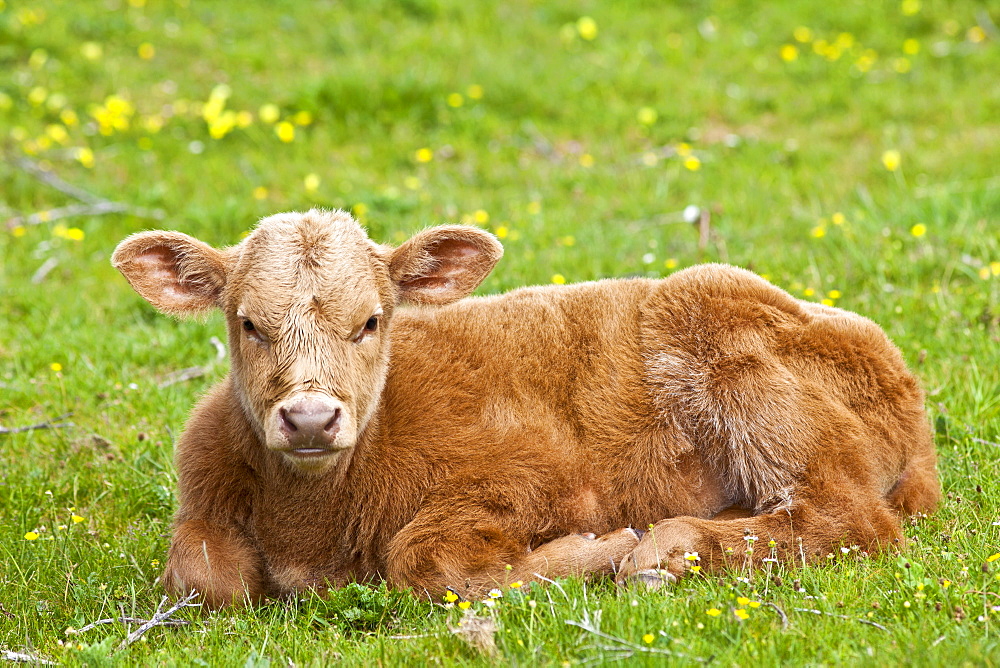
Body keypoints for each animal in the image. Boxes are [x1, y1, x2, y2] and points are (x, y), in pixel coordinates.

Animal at [113, 211, 940, 608]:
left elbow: (427, 559)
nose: (311, 418)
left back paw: (667, 548)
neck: (310, 527)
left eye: (372, 321)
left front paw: (599, 552)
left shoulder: (537, 478)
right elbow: (206, 577)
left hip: (731, 341)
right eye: (248, 322)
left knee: (848, 519)